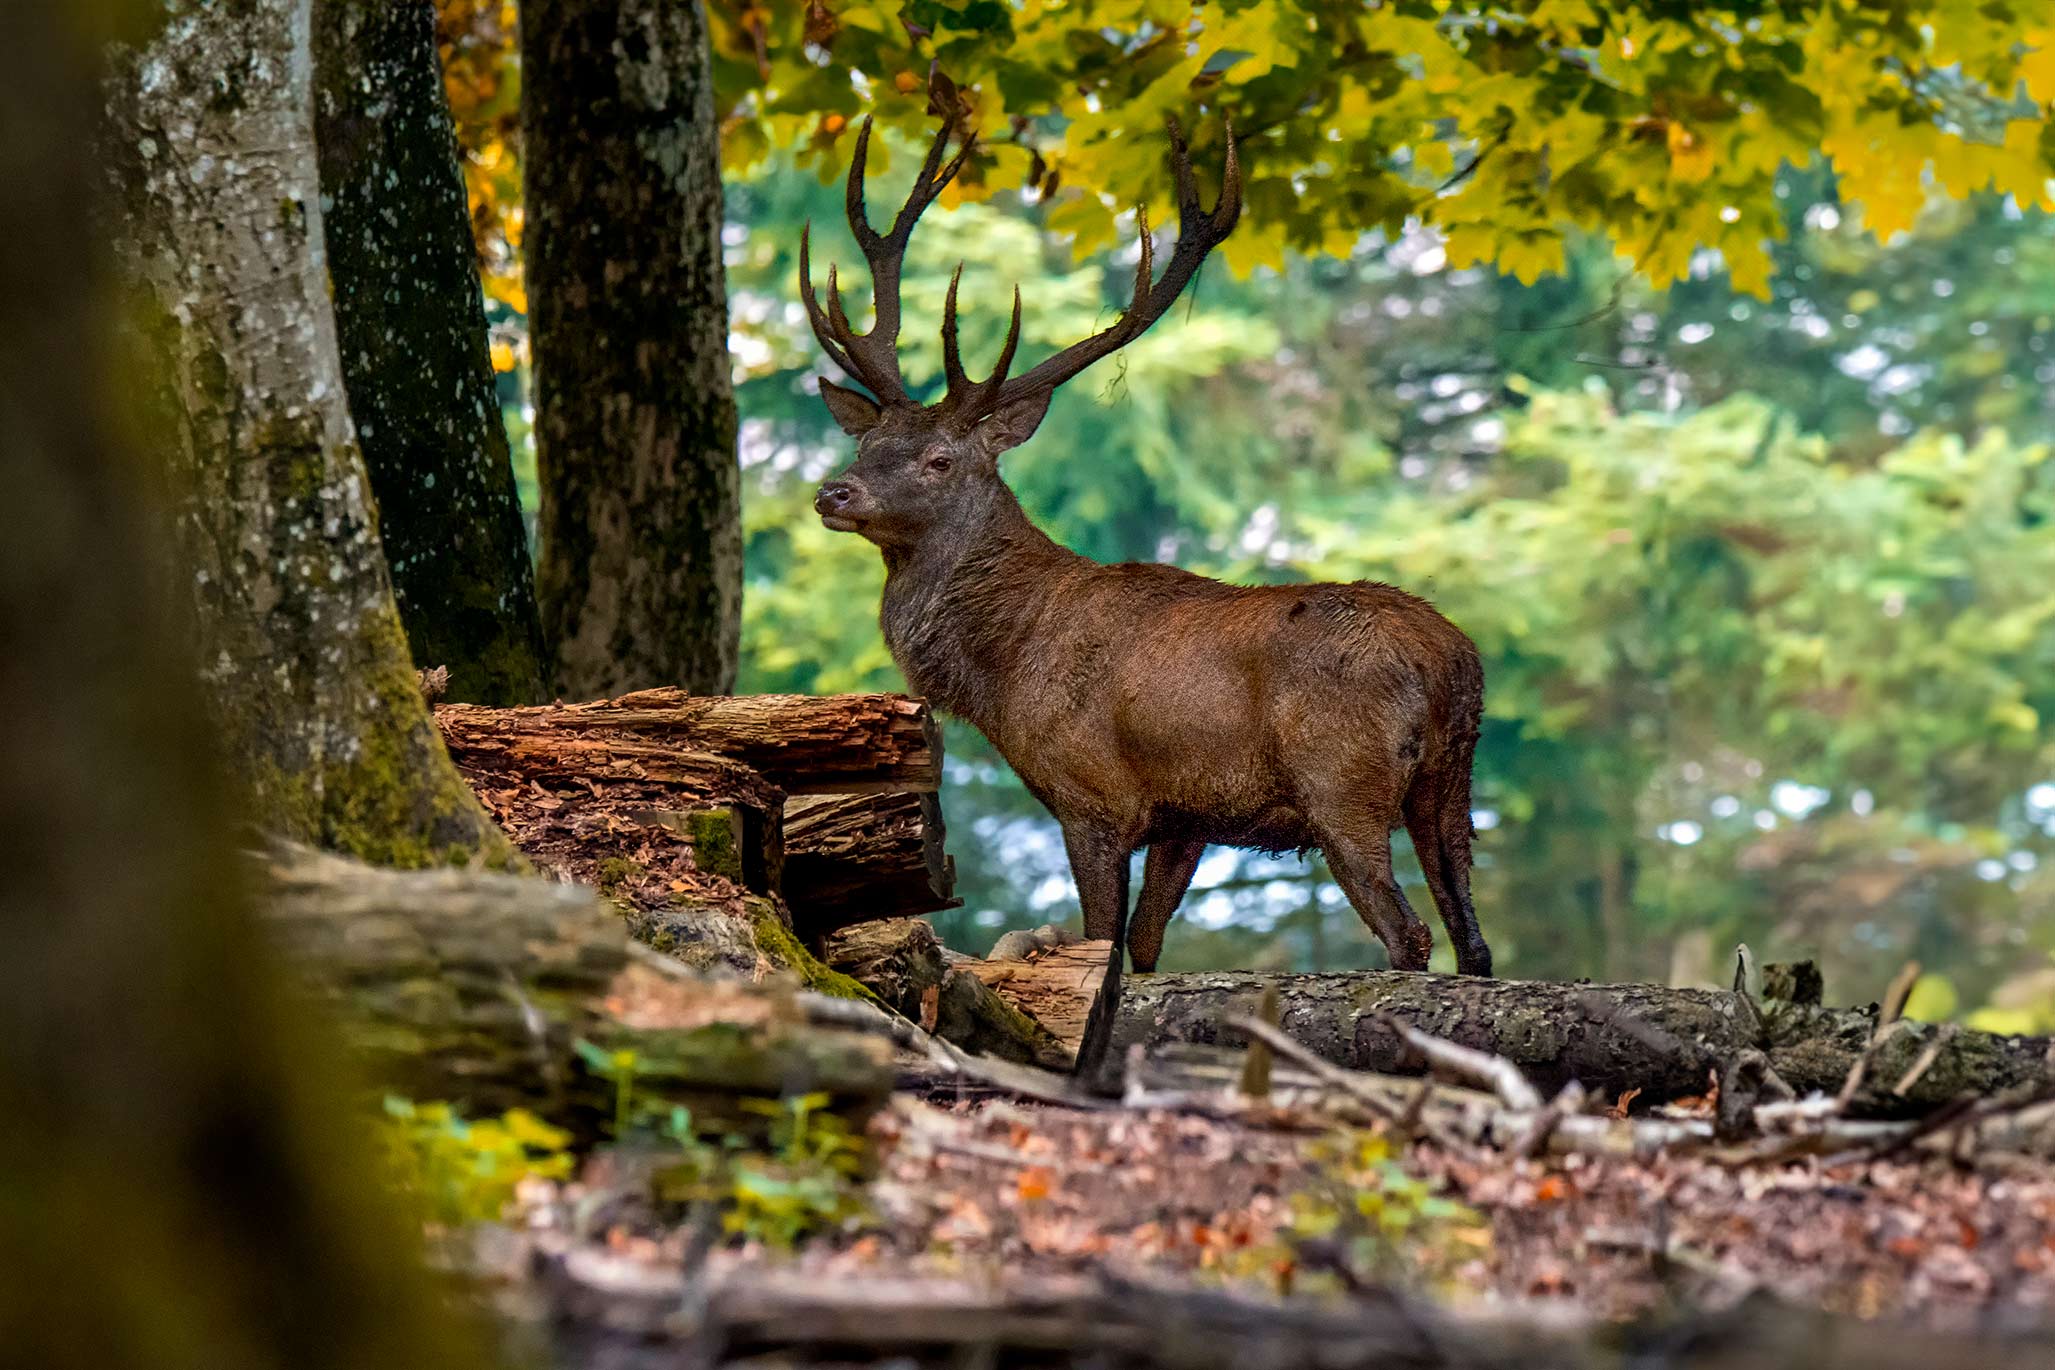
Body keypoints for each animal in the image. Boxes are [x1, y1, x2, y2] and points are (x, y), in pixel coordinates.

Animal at [798, 106, 1492, 1069]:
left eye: (937, 459)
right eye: (867, 446)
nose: (835, 492)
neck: (1002, 672)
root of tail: (1450, 660)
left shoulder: (1093, 795)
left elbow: (1106, 947)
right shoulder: (1186, 816)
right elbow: (1151, 950)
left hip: (1342, 781)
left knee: (1410, 935)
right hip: (1452, 786)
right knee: (1475, 941)